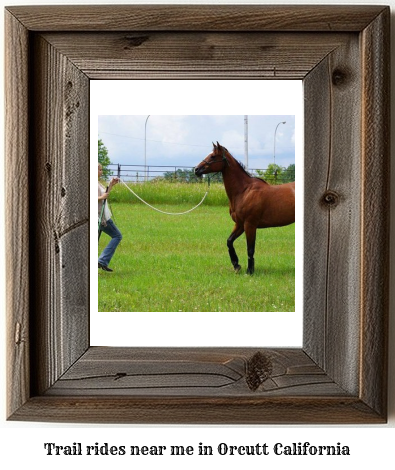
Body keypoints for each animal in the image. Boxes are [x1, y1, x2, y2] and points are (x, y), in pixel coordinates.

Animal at [193, 141, 296, 274]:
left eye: (213, 156)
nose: (196, 169)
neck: (244, 191)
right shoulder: (240, 224)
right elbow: (229, 241)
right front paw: (236, 265)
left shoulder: (249, 224)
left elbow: (250, 249)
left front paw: (249, 271)